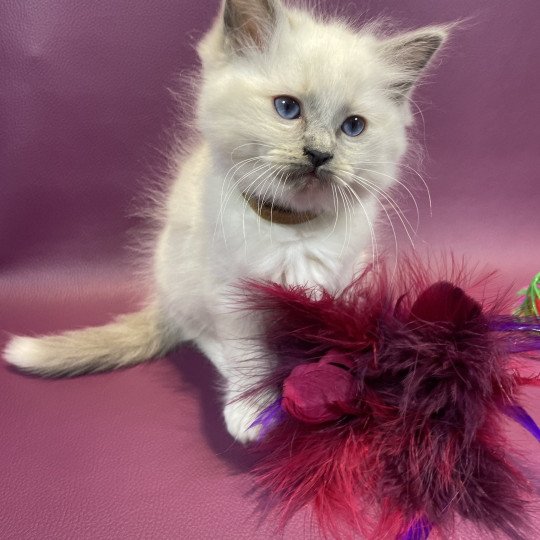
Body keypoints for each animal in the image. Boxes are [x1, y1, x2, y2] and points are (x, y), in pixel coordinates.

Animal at [4, 1, 448, 442]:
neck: (293, 227)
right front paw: (252, 411)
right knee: (197, 333)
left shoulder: (345, 281)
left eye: (353, 127)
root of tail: (161, 299)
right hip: (183, 279)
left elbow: (339, 336)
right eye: (288, 108)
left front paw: (344, 380)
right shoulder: (233, 296)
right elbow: (248, 356)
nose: (320, 155)